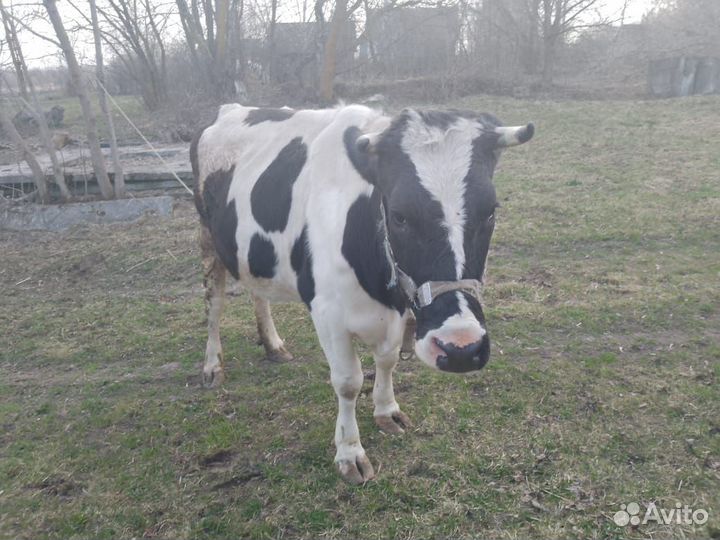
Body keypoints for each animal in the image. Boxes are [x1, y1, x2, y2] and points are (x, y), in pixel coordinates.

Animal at [191, 104, 534, 484]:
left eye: (490, 211)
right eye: (399, 215)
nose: (461, 348)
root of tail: (232, 108)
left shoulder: (399, 312)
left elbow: (387, 360)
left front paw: (387, 411)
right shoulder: (327, 314)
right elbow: (348, 381)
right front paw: (349, 451)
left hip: (250, 252)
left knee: (258, 294)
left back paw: (273, 345)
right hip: (208, 238)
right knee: (214, 304)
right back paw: (212, 366)